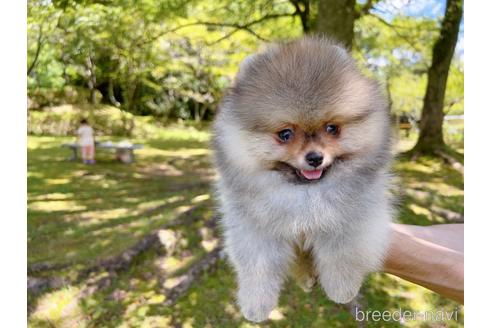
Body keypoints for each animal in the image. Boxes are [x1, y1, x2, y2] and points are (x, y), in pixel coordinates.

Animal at [210, 36, 392, 322]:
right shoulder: (254, 228)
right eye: (285, 134)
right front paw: (256, 304)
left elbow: (342, 254)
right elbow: (257, 267)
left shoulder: (352, 218)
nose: (315, 157)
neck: (305, 194)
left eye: (332, 128)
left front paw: (342, 288)